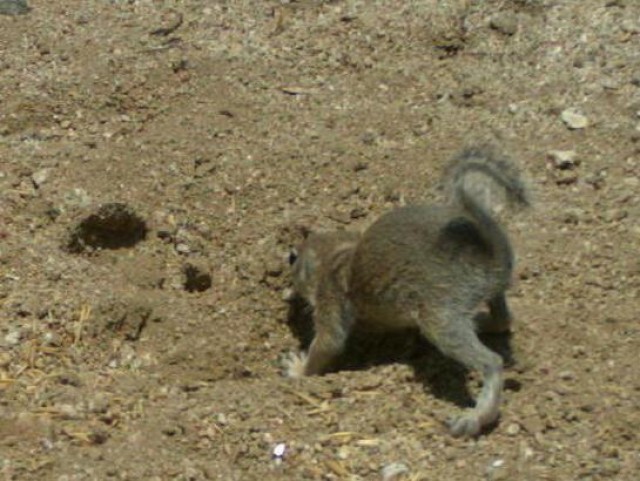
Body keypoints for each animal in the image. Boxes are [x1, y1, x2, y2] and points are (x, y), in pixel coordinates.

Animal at [284, 146, 528, 436]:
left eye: (292, 257)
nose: (289, 257)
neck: (340, 254)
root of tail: (492, 252)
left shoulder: (329, 298)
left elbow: (328, 343)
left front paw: (298, 369)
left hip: (439, 317)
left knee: (492, 361)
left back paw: (475, 417)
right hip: (487, 294)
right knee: (503, 320)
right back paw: (483, 321)